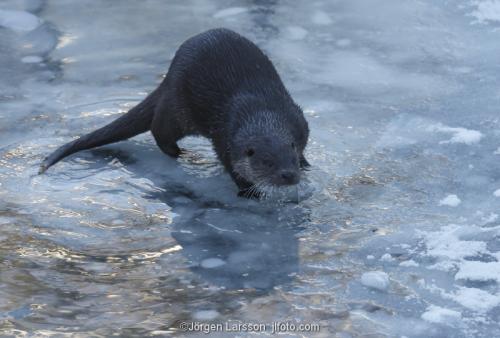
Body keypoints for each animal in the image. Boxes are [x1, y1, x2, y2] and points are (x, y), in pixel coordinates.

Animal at [40, 29, 308, 198]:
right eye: (267, 162)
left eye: (291, 158)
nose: (289, 176)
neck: (261, 112)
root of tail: (168, 77)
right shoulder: (225, 137)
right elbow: (230, 165)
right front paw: (249, 192)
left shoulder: (298, 120)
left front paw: (306, 163)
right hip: (179, 107)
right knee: (160, 129)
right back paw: (179, 154)